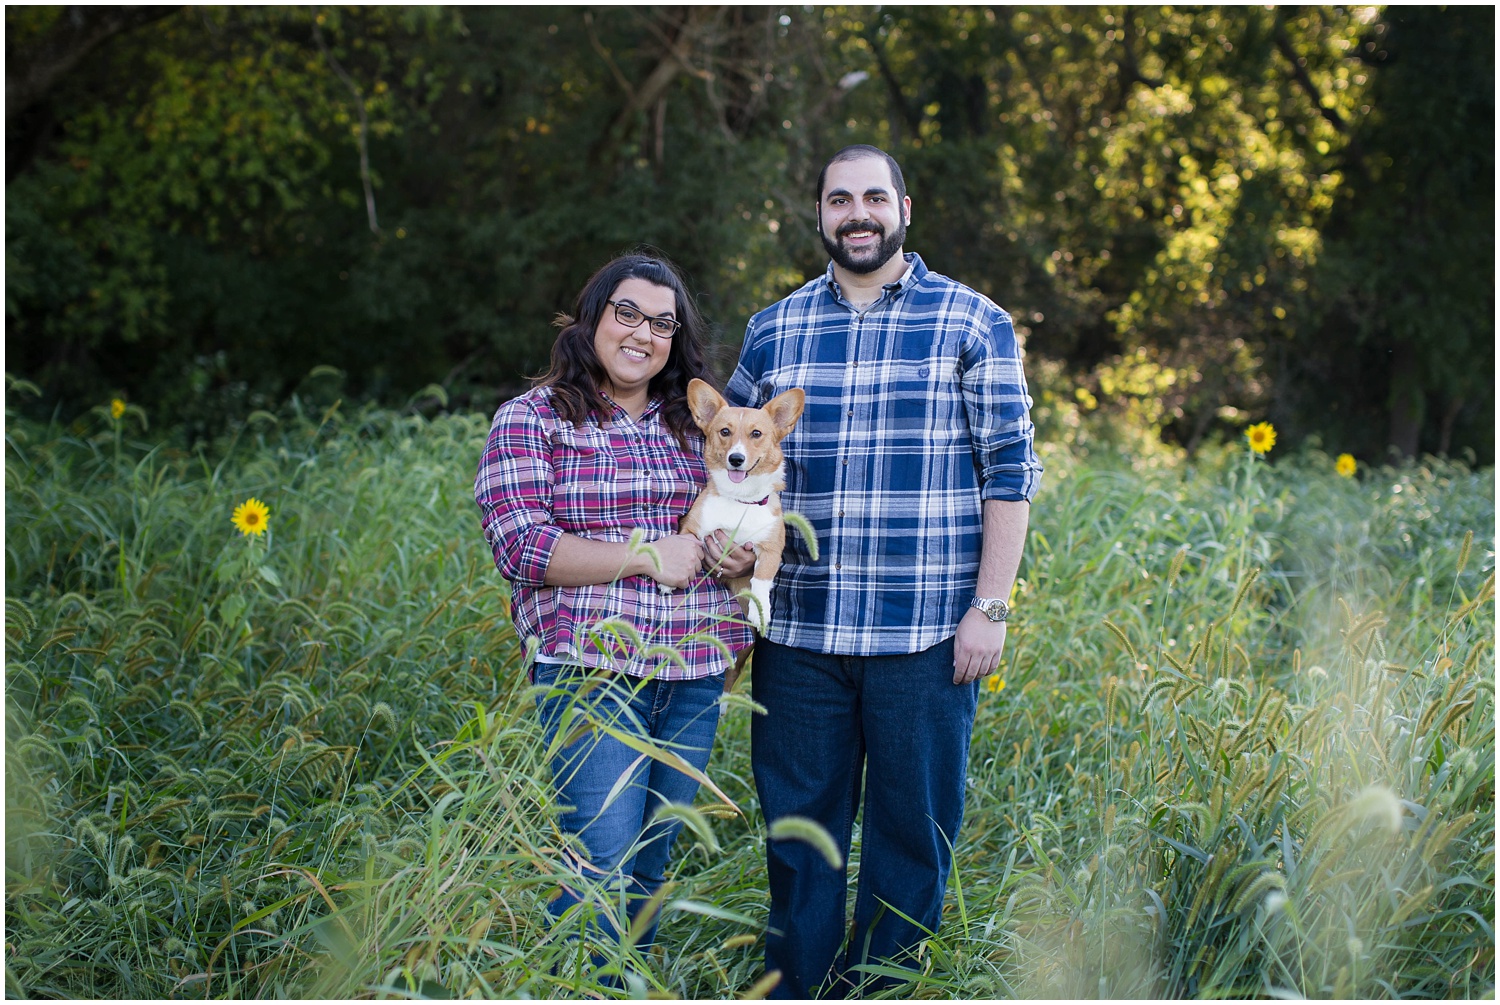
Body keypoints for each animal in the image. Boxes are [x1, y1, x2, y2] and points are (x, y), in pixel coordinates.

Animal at [681, 382, 804, 633]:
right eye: (724, 432)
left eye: (756, 433)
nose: (736, 459)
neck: (740, 498)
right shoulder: (692, 527)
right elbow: (687, 544)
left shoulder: (770, 549)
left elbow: (761, 579)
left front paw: (761, 612)